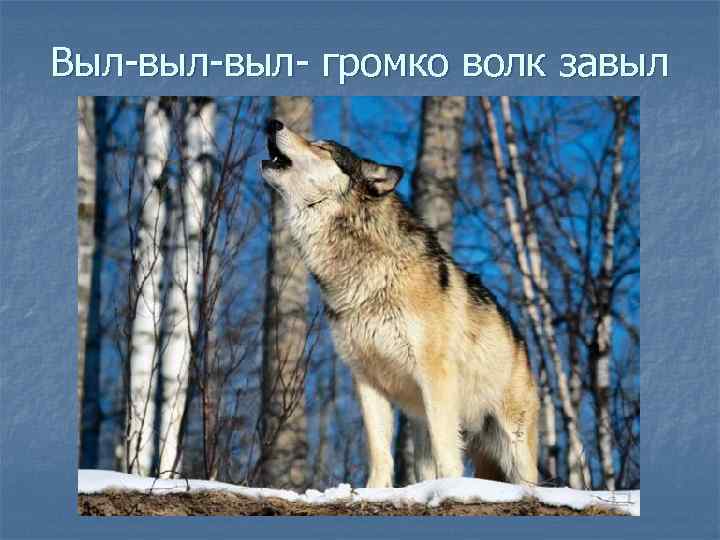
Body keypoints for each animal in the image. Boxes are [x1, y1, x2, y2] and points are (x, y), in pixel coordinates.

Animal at [261, 118, 539, 488]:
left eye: (322, 147)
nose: (272, 123)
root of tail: (521, 341)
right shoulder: (367, 381)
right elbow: (380, 452)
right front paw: (374, 491)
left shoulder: (435, 375)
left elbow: (447, 453)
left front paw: (449, 489)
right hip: (424, 425)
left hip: (512, 442)